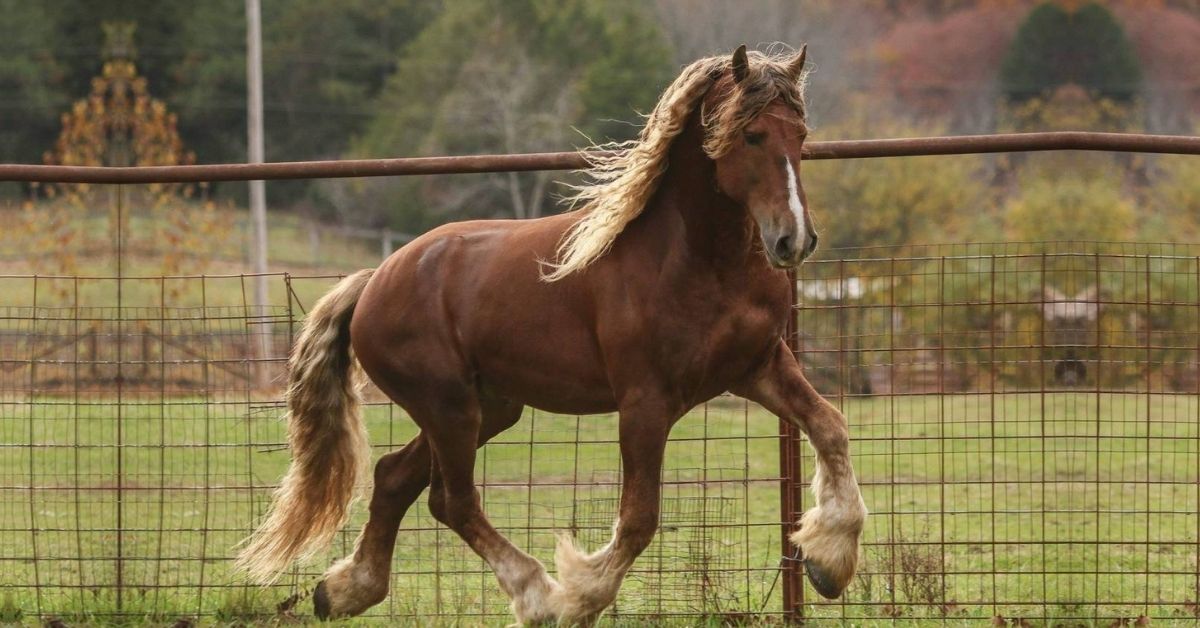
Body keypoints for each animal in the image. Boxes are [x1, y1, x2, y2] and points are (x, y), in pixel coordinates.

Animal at [238, 45, 868, 624]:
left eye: (802, 135)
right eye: (754, 135)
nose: (794, 240)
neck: (697, 260)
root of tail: (375, 281)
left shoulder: (758, 367)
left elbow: (831, 427)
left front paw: (828, 562)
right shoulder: (646, 403)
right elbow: (639, 520)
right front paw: (580, 597)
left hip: (488, 408)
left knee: (396, 477)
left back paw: (343, 591)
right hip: (448, 406)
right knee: (453, 501)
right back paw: (538, 596)